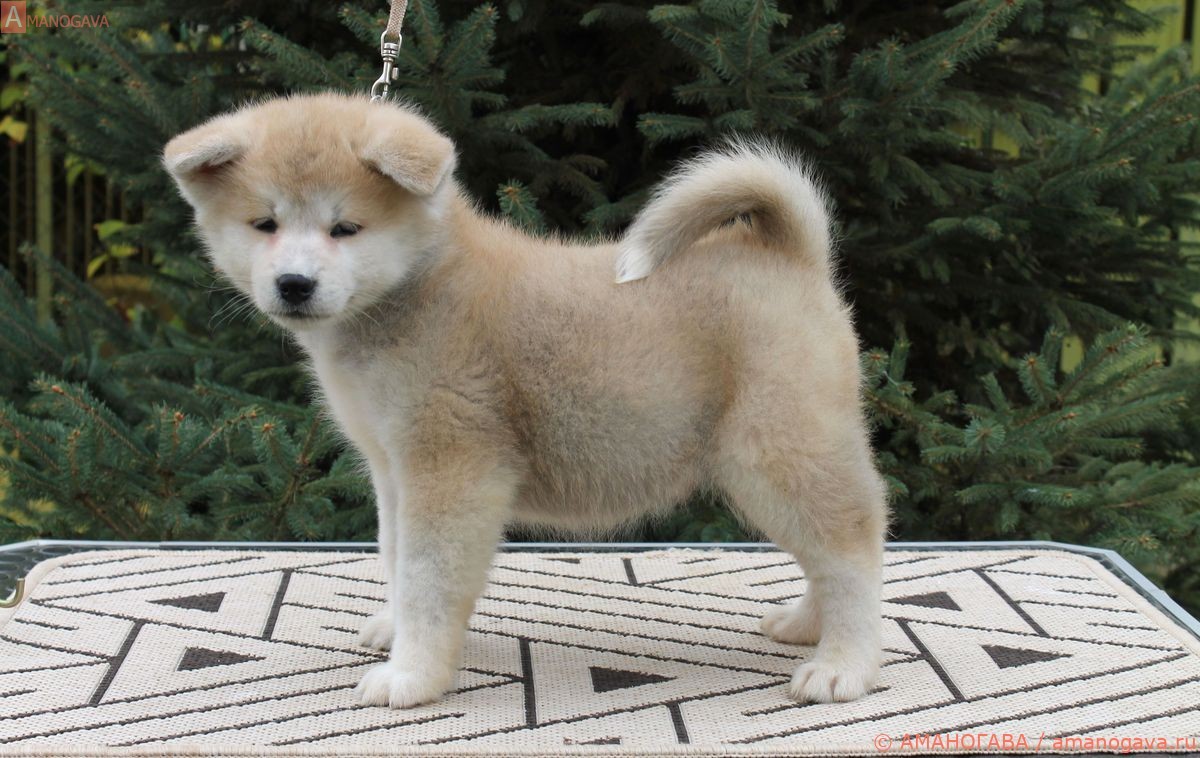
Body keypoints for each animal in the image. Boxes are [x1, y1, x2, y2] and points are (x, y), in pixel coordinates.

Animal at [163, 92, 888, 709]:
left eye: (345, 228)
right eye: (265, 223)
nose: (294, 284)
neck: (418, 287)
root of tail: (789, 254)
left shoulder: (451, 467)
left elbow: (427, 579)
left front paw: (412, 674)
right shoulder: (393, 470)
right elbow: (394, 557)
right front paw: (394, 629)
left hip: (776, 451)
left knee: (852, 547)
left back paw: (843, 664)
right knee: (829, 551)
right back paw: (807, 624)